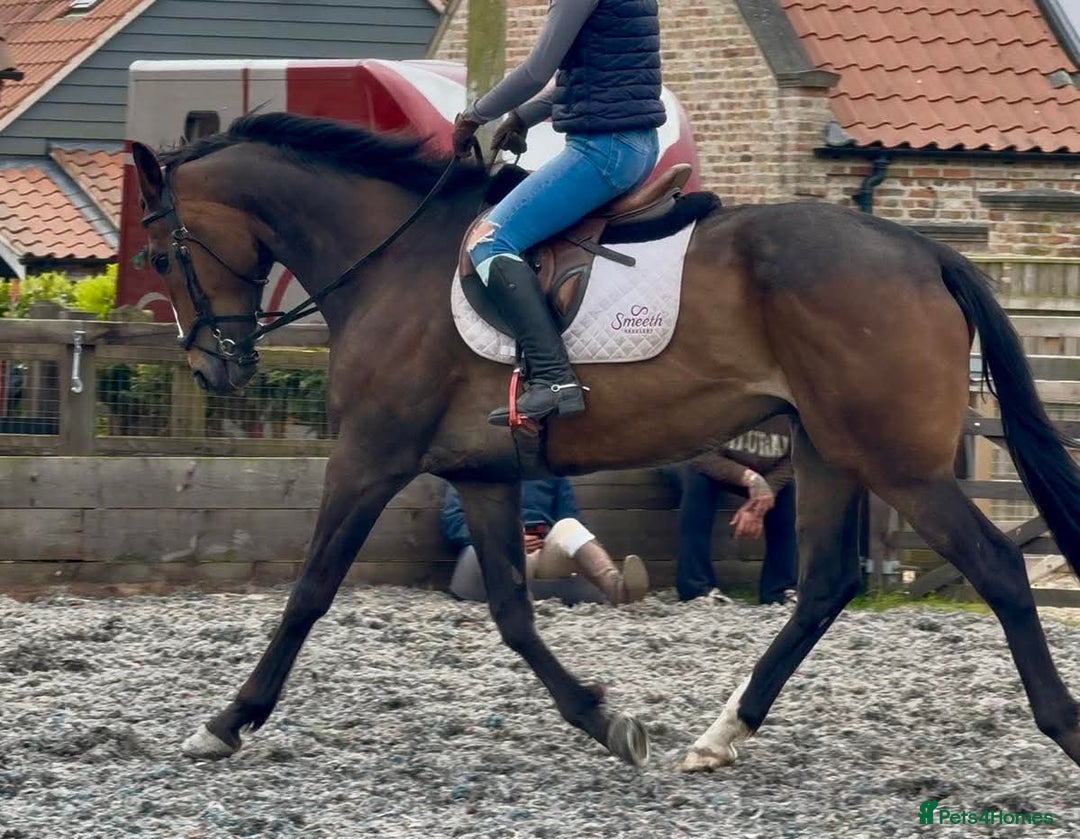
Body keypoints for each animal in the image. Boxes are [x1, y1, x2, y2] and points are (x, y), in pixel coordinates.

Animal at [130, 111, 1080, 772]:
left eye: (159, 254)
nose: (210, 365)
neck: (389, 262)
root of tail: (922, 252)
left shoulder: (369, 456)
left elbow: (310, 591)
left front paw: (226, 721)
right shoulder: (483, 473)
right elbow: (513, 612)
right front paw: (605, 718)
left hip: (897, 463)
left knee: (996, 566)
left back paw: (1062, 726)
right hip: (830, 453)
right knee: (824, 586)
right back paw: (720, 734)